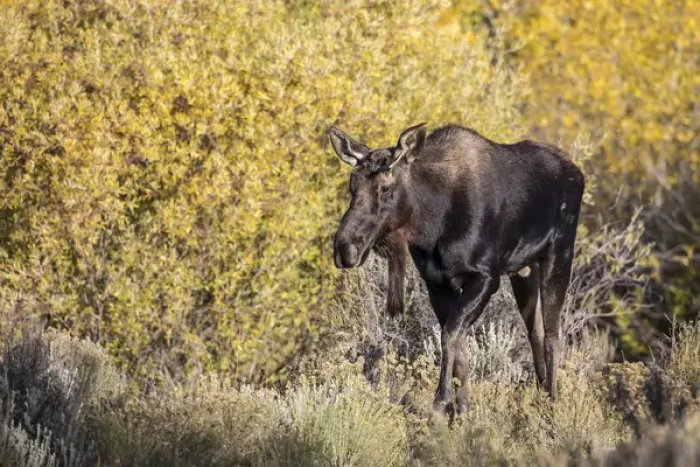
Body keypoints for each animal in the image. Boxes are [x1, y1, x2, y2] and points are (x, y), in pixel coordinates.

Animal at [329, 122, 584, 414]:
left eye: (384, 188)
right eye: (352, 186)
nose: (344, 249)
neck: (431, 223)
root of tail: (578, 173)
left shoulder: (485, 277)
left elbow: (449, 336)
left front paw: (441, 404)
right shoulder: (437, 284)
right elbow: (459, 348)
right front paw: (462, 412)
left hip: (559, 254)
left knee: (554, 334)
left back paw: (552, 402)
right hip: (524, 269)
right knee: (536, 332)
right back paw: (540, 394)